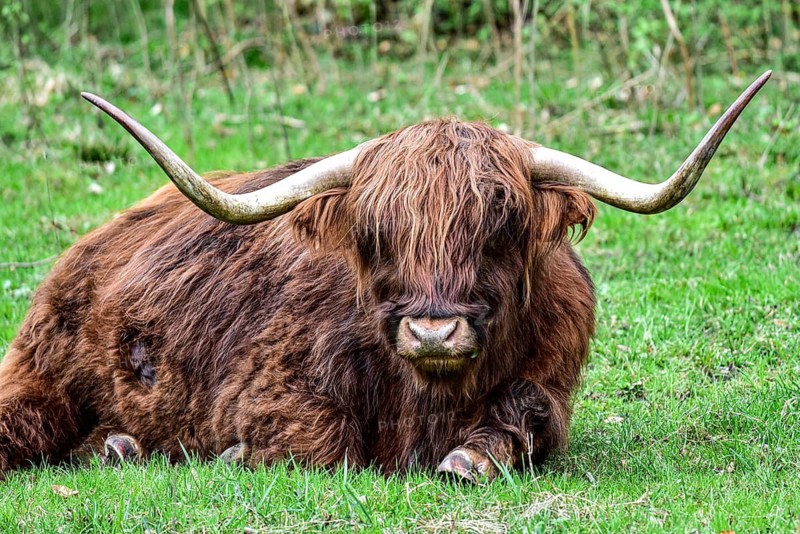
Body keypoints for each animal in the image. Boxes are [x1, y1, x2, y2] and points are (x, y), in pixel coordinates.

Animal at [0, 72, 770, 482]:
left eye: (501, 227)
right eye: (376, 236)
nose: (433, 330)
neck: (425, 397)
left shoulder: (550, 381)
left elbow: (528, 417)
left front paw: (469, 459)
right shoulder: (273, 387)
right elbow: (317, 445)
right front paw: (235, 453)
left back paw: (121, 446)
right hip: (41, 378)